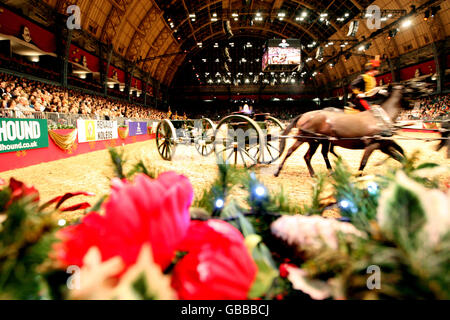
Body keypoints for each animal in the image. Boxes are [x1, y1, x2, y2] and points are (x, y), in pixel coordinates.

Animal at [272, 85, 414, 178]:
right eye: (408, 90)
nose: (412, 105)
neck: (380, 118)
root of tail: (305, 115)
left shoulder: (384, 144)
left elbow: (400, 155)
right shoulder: (372, 144)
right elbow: (363, 162)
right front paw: (357, 176)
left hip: (315, 141)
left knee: (308, 155)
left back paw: (317, 173)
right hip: (306, 139)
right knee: (293, 152)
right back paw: (278, 171)